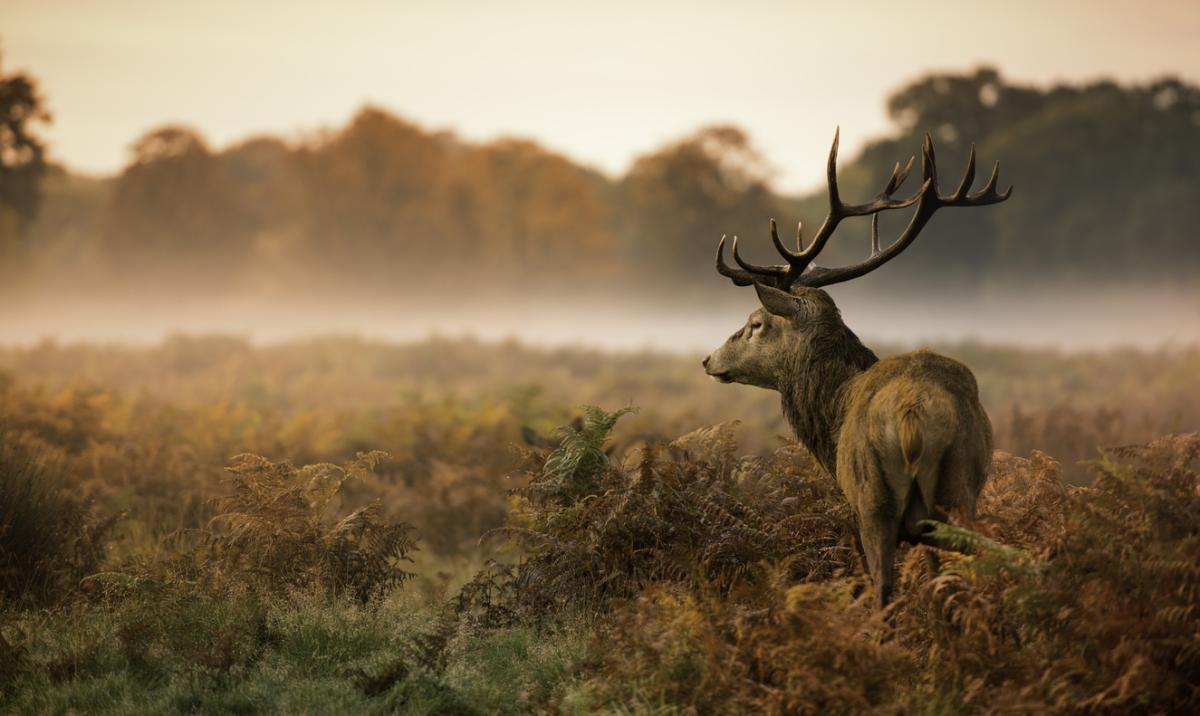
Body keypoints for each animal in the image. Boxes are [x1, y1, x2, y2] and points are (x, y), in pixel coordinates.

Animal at [702, 130, 1011, 608]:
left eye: (756, 323)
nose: (709, 359)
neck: (834, 409)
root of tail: (912, 418)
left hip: (874, 501)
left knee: (882, 588)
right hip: (959, 489)